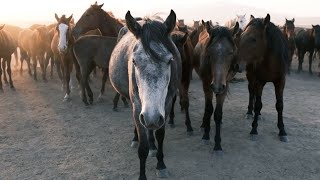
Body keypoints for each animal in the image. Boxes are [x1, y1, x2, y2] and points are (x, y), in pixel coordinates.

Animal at [109, 10, 179, 180]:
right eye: (134, 61)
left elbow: (160, 135)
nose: (151, 117)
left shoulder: (166, 105)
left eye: (169, 61)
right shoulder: (138, 105)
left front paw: (161, 165)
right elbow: (142, 147)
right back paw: (136, 138)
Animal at [192, 21, 240, 151]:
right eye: (210, 52)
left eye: (230, 52)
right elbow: (209, 109)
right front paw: (206, 135)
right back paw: (204, 124)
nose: (217, 86)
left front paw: (217, 144)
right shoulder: (207, 84)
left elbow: (218, 114)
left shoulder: (224, 86)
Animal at [239, 13, 288, 142]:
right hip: (251, 77)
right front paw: (254, 129)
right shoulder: (259, 81)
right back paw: (249, 112)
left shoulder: (280, 82)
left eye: (253, 39)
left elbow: (280, 105)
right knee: (252, 92)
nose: (236, 63)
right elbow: (257, 104)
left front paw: (282, 131)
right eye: (241, 36)